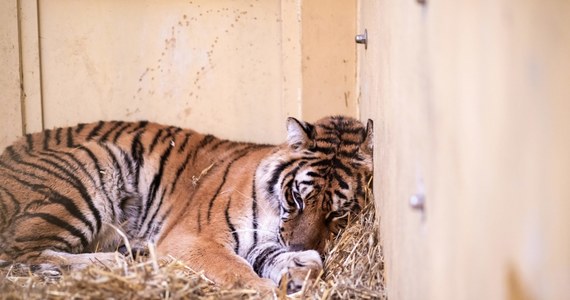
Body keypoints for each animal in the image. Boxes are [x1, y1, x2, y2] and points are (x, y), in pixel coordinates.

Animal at [0, 115, 372, 292]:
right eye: (297, 197)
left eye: (338, 212)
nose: (298, 246)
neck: (273, 208)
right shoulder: (193, 240)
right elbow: (234, 268)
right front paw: (264, 288)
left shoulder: (264, 240)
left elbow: (277, 256)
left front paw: (299, 270)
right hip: (95, 162)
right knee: (18, 254)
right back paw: (118, 262)